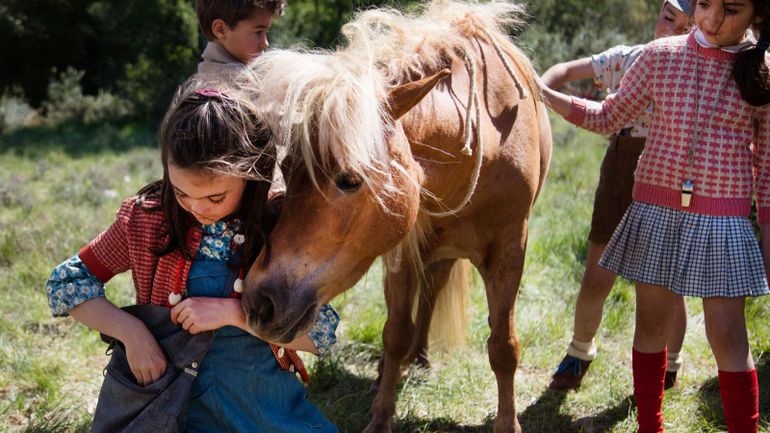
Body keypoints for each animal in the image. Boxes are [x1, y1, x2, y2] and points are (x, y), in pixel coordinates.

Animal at [237, 1, 548, 430]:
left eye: (349, 180)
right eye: (287, 167)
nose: (258, 302)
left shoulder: (510, 250)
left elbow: (503, 346)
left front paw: (507, 422)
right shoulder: (401, 251)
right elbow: (396, 332)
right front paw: (381, 415)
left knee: (433, 292)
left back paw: (420, 359)